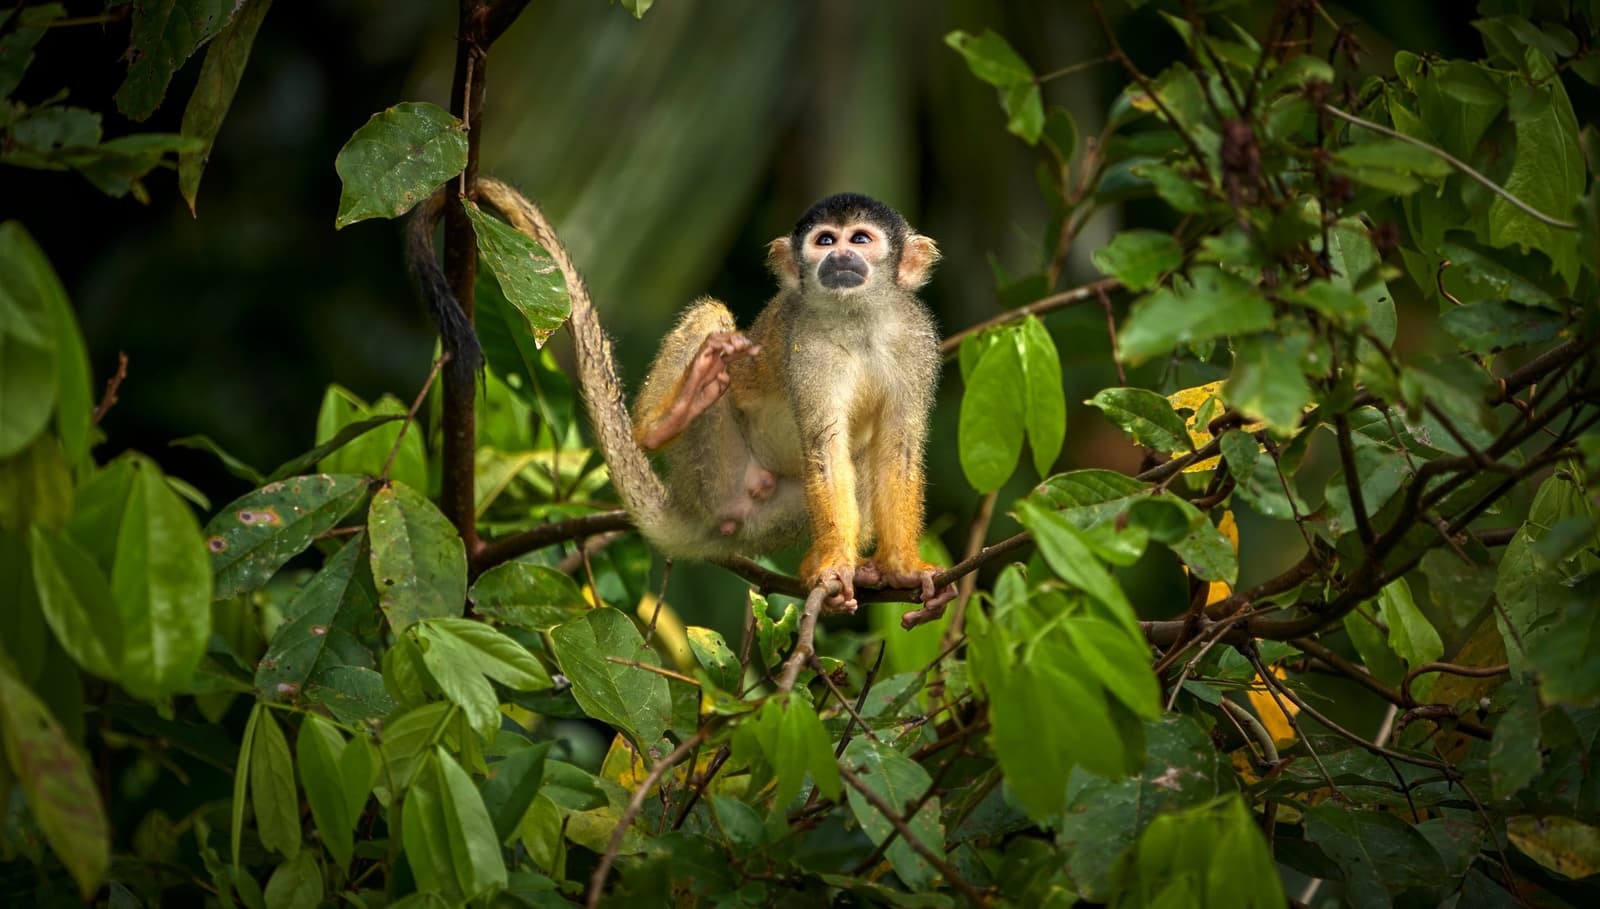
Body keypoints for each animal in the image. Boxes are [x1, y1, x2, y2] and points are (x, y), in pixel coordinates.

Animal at [410, 181, 955, 628]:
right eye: (824, 241)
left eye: (859, 240)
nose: (838, 258)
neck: (857, 319)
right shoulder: (806, 348)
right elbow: (825, 447)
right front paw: (836, 565)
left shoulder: (917, 341)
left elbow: (897, 449)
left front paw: (903, 570)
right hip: (709, 472)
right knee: (714, 322)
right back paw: (670, 416)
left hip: (775, 514)